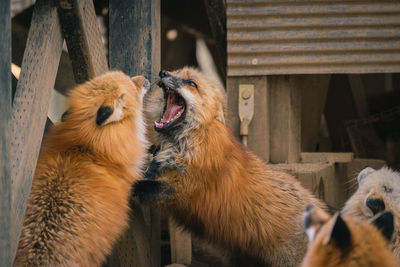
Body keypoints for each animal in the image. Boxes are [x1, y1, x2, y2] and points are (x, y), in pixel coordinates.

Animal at [134, 68, 328, 266]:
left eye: (191, 83)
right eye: (175, 72)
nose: (163, 72)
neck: (185, 143)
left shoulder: (185, 187)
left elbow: (146, 186)